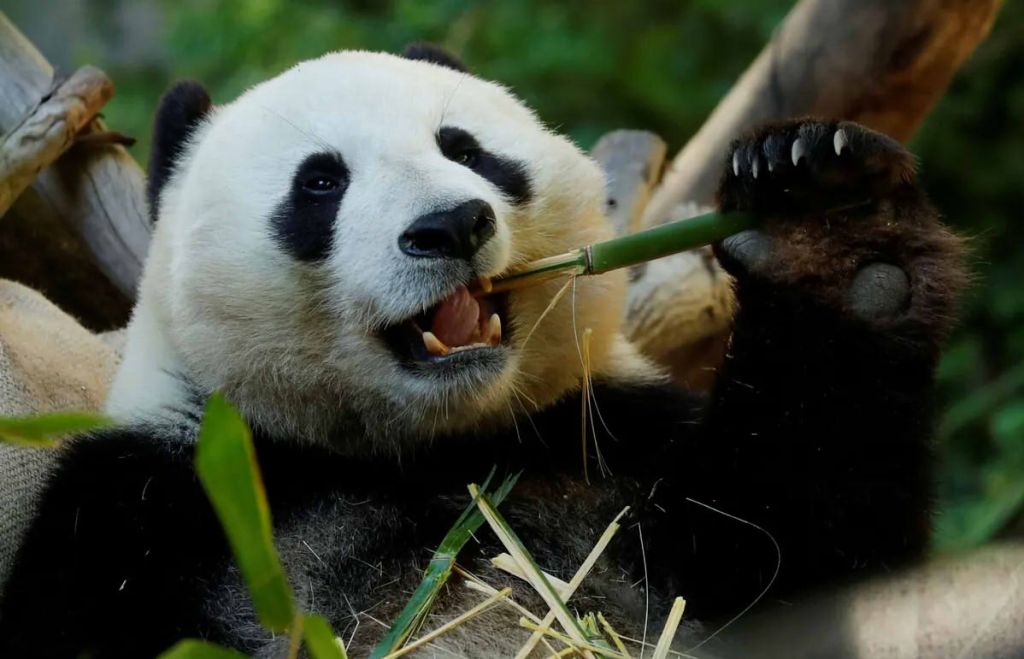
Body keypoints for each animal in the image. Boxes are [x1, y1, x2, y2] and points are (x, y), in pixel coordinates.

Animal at [0, 43, 965, 657]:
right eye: (321, 182)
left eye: (465, 149)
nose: (451, 224)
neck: (430, 447)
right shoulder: (156, 505)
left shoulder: (607, 438)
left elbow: (806, 554)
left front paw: (833, 235)